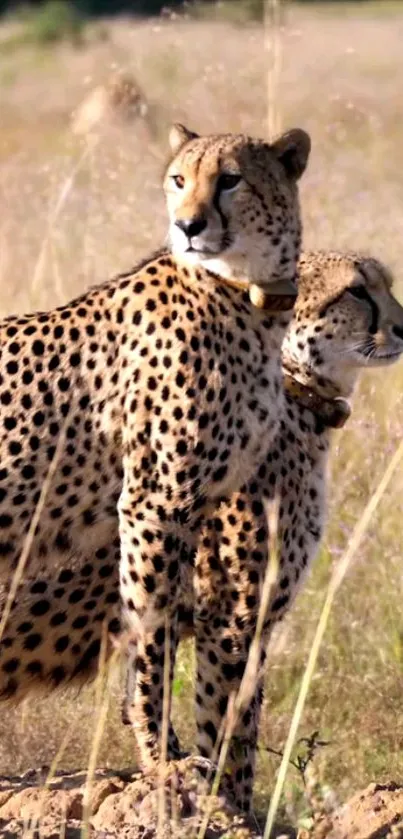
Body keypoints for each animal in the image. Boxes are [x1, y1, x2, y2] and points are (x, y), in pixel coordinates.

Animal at [0, 123, 312, 768]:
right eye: (178, 178)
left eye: (230, 179)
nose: (188, 225)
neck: (243, 293)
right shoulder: (153, 502)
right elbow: (151, 633)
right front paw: (163, 759)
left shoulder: (197, 509)